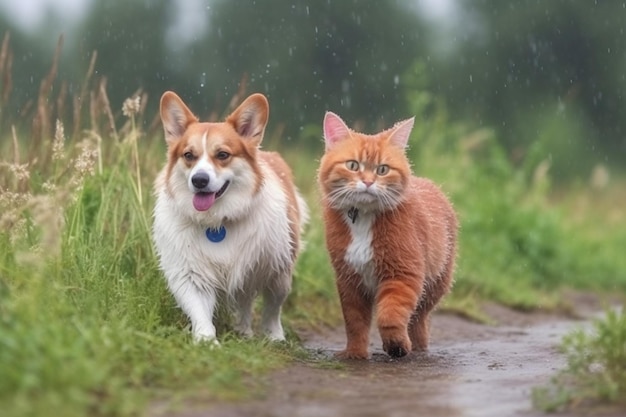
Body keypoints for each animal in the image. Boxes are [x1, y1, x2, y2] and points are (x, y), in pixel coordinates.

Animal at [152, 92, 308, 342]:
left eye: (222, 155)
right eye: (189, 155)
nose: (199, 180)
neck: (217, 222)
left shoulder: (277, 271)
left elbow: (273, 307)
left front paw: (274, 336)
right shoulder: (190, 273)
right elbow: (199, 310)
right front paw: (206, 340)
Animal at [316, 112, 458, 360]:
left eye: (383, 169)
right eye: (352, 165)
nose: (368, 182)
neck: (364, 218)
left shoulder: (403, 275)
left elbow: (389, 315)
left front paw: (396, 345)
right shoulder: (349, 280)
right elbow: (354, 321)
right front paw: (355, 353)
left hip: (436, 285)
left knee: (418, 320)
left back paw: (416, 348)